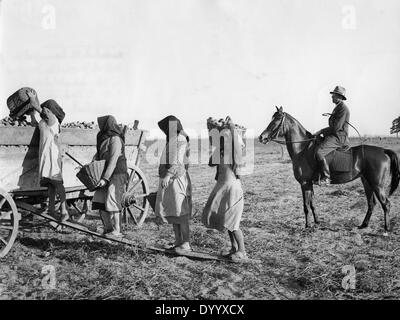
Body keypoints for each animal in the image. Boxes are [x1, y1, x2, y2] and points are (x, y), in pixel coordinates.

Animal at [258, 106, 398, 234]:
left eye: (276, 120)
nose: (261, 137)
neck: (302, 149)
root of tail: (383, 150)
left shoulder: (304, 183)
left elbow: (306, 206)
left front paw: (307, 226)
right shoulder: (309, 184)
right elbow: (312, 204)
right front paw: (317, 222)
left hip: (377, 184)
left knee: (386, 204)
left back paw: (386, 229)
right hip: (367, 182)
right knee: (371, 203)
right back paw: (364, 225)